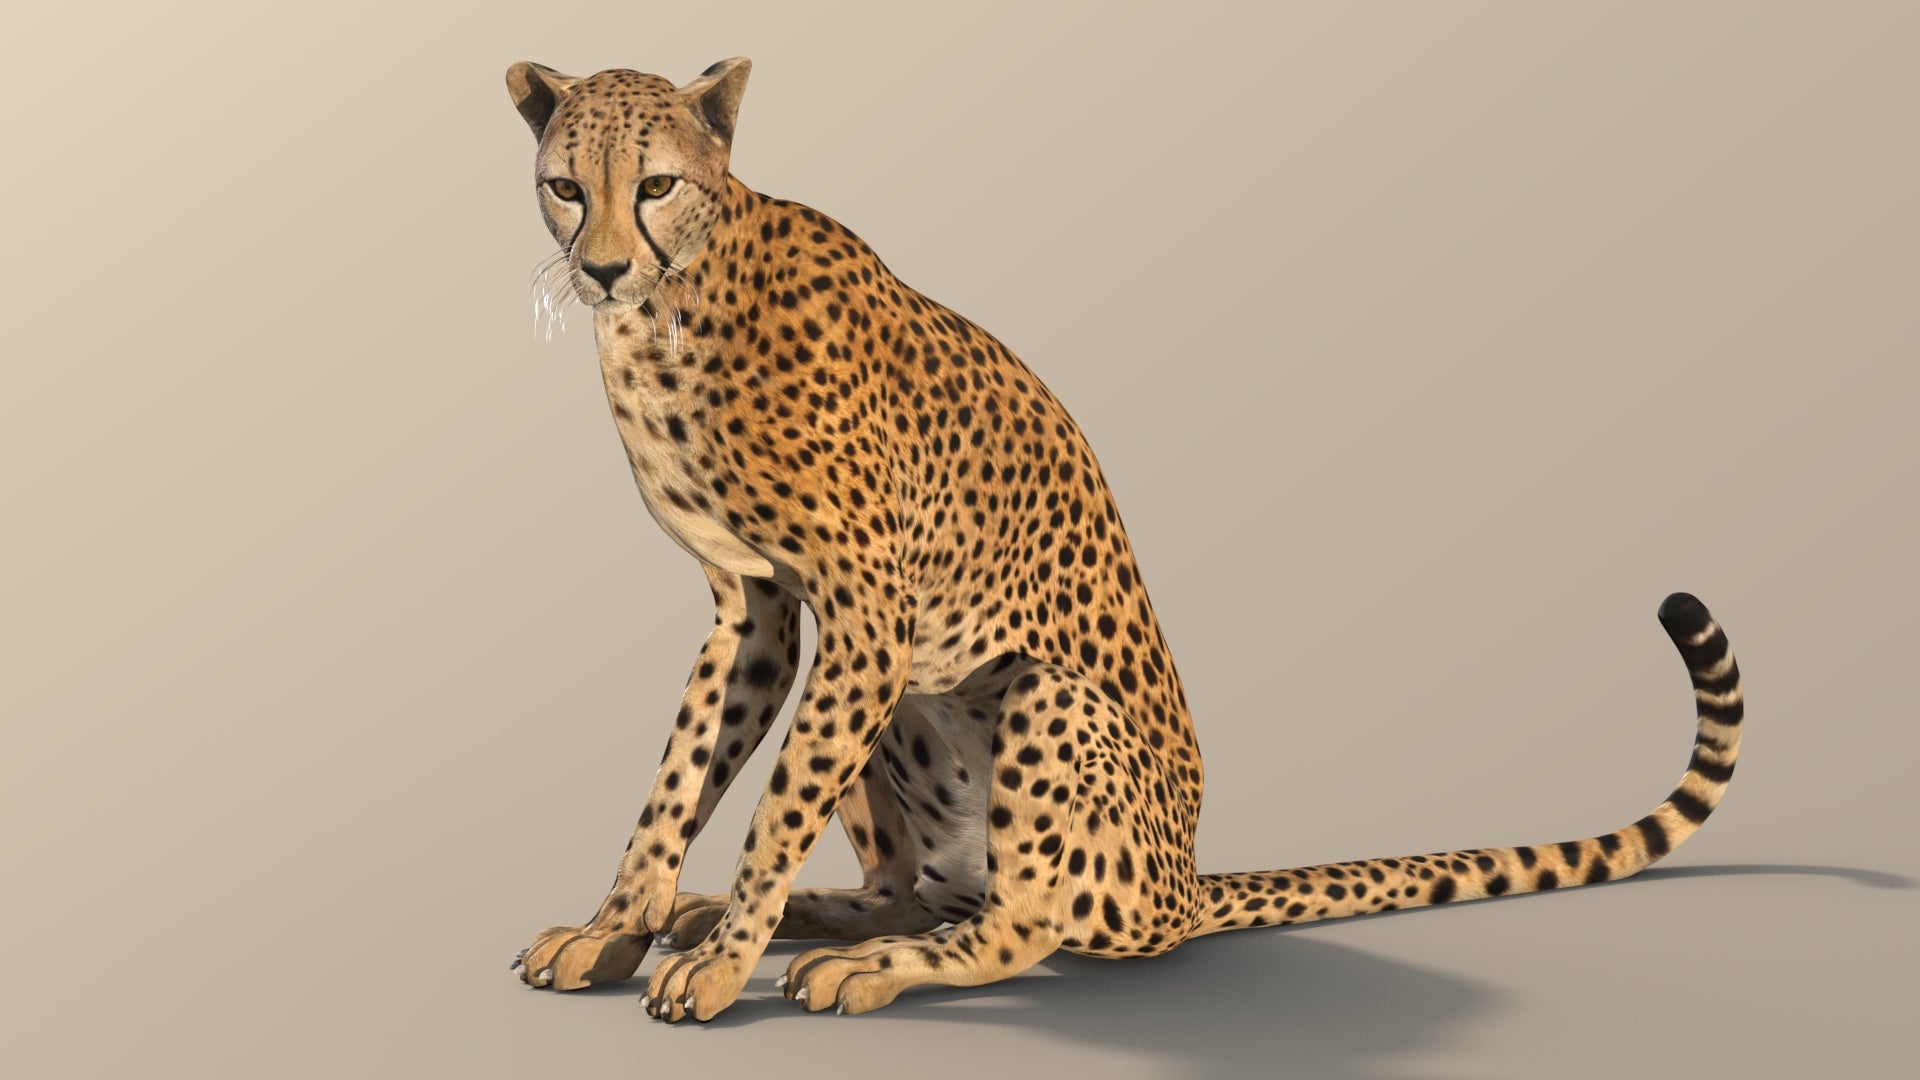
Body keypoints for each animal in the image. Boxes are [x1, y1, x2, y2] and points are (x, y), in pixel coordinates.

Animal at [502, 58, 1747, 1022]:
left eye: (657, 184)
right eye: (565, 186)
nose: (602, 266)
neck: (673, 308)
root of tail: (1184, 883)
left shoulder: (867, 611)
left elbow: (778, 803)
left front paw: (718, 969)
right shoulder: (759, 608)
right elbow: (680, 779)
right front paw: (621, 928)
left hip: (1036, 697)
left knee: (1020, 922)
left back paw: (868, 964)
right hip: (910, 702)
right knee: (918, 884)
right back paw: (781, 918)